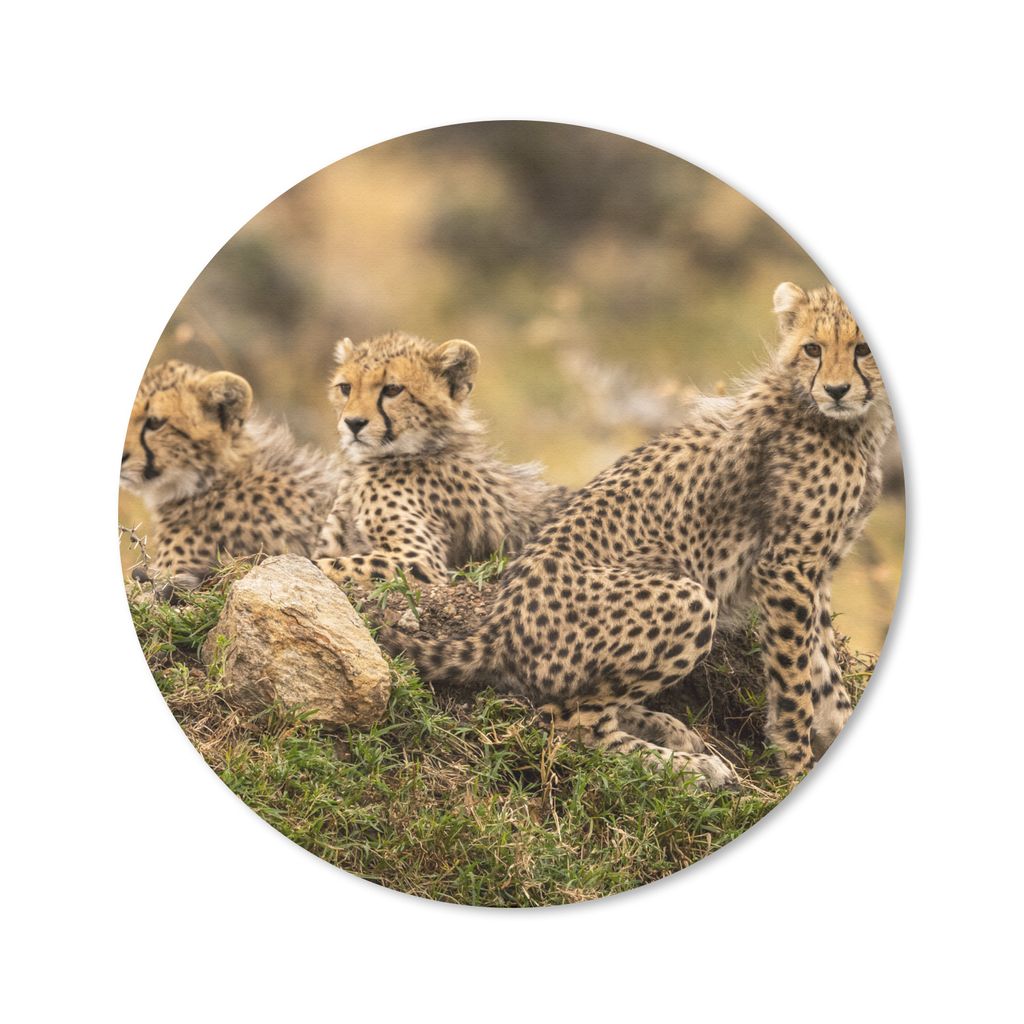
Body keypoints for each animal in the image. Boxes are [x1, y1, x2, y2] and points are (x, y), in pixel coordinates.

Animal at [378, 283, 894, 788]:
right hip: (688, 598)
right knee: (572, 720)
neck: (847, 422)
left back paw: (669, 730)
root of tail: (496, 628)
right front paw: (796, 770)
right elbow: (795, 683)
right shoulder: (786, 567)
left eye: (863, 349)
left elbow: (824, 670)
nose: (836, 390)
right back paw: (693, 767)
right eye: (813, 348)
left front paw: (836, 733)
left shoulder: (816, 570)